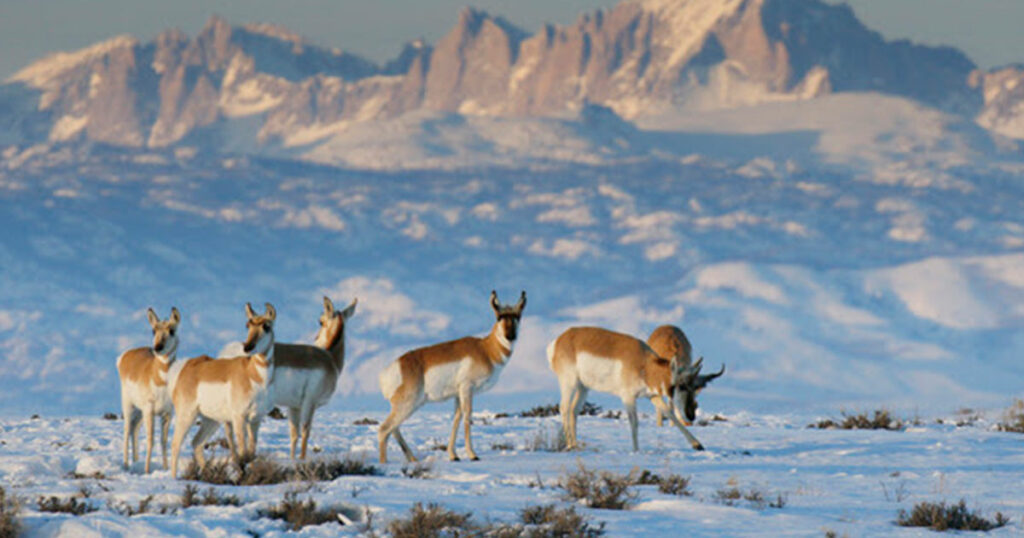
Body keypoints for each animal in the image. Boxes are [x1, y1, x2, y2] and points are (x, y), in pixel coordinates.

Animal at [116, 307, 181, 473]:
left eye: (172, 330)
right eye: (153, 330)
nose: (157, 348)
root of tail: (125, 356)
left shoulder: (167, 413)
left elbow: (163, 440)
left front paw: (165, 468)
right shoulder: (150, 410)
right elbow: (151, 440)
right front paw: (146, 469)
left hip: (140, 412)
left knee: (134, 429)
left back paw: (135, 461)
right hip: (129, 406)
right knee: (127, 430)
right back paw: (126, 464)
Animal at [169, 303, 276, 478]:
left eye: (266, 326)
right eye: (248, 325)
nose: (247, 347)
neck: (254, 375)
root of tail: (188, 366)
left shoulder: (256, 419)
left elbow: (252, 452)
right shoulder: (239, 417)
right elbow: (242, 451)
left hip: (211, 420)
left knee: (197, 442)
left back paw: (207, 473)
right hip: (188, 415)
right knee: (176, 443)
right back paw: (174, 478)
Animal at [272, 296, 356, 460]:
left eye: (321, 321)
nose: (315, 338)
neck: (330, 358)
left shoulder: (294, 407)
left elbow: (294, 435)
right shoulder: (309, 403)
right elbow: (305, 432)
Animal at [378, 290, 526, 463]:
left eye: (518, 316)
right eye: (499, 317)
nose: (510, 336)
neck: (486, 350)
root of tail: (390, 370)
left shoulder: (457, 394)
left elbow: (456, 419)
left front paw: (453, 455)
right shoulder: (467, 388)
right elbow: (467, 417)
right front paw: (472, 455)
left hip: (410, 405)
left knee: (394, 428)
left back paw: (413, 459)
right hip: (408, 404)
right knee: (384, 429)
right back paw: (385, 464)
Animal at [547, 326, 724, 452]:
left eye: (695, 387)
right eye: (680, 385)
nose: (691, 415)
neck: (645, 365)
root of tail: (559, 340)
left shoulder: (653, 396)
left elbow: (670, 414)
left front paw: (697, 444)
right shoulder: (628, 398)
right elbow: (634, 422)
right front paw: (636, 451)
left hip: (584, 388)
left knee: (573, 410)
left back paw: (575, 445)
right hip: (569, 383)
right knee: (564, 408)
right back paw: (569, 445)